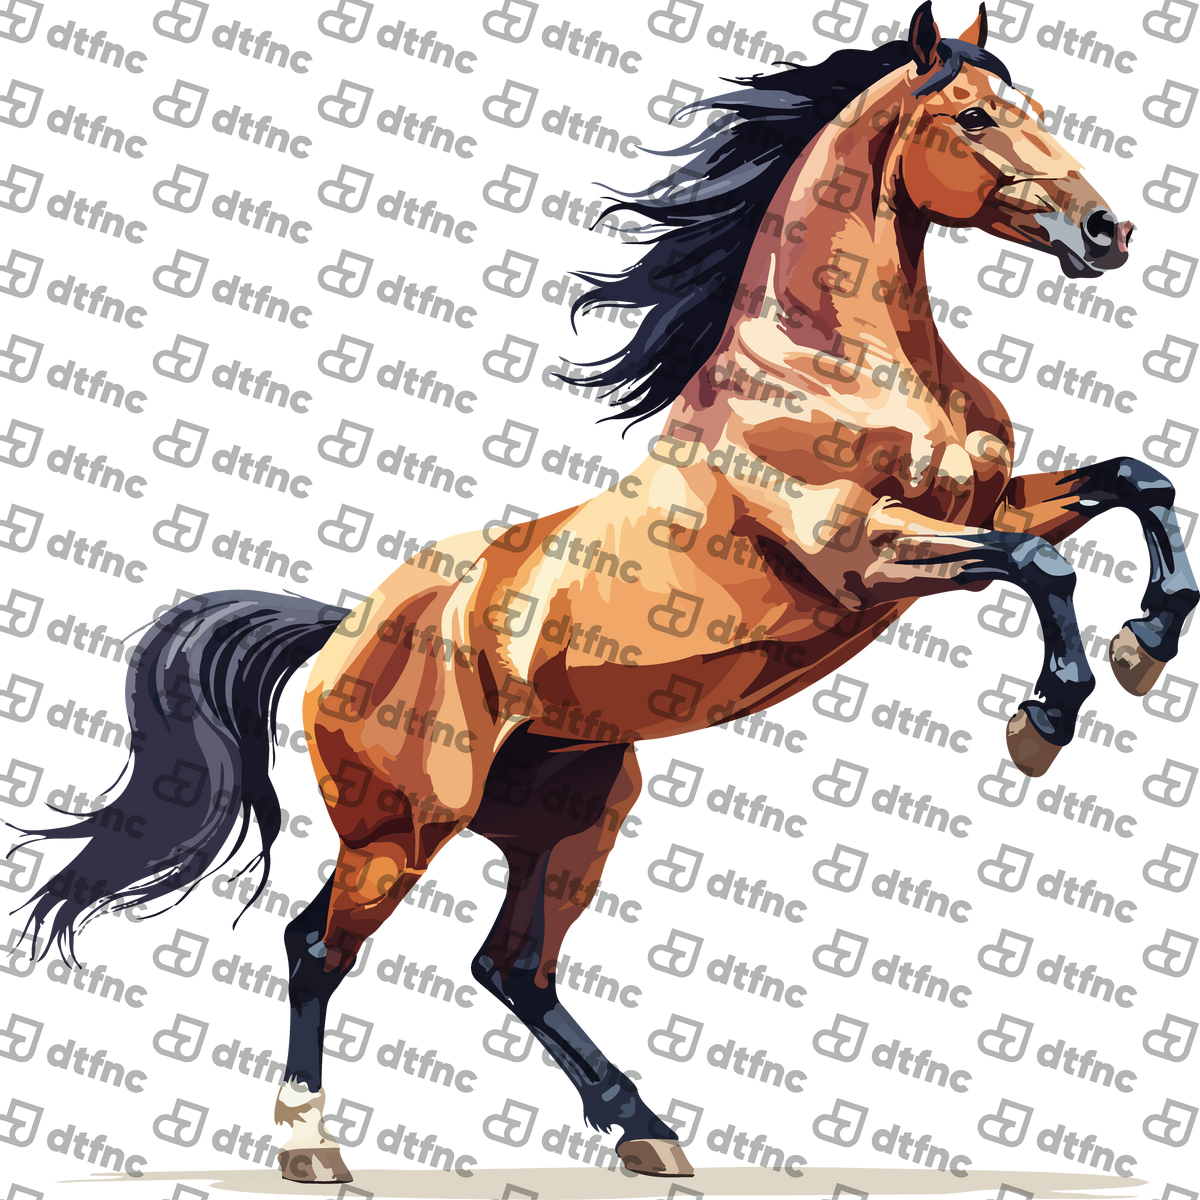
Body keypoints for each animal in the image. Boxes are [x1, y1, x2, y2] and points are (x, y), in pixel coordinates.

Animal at [5, 0, 1197, 1184]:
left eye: (1030, 102)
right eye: (974, 115)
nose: (1107, 232)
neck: (841, 364)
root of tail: (342, 629)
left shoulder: (998, 506)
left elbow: (1139, 482)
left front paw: (1144, 652)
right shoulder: (860, 556)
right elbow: (1045, 570)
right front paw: (1043, 726)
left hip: (577, 812)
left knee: (511, 968)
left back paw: (647, 1135)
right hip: (404, 824)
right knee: (320, 946)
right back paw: (314, 1142)